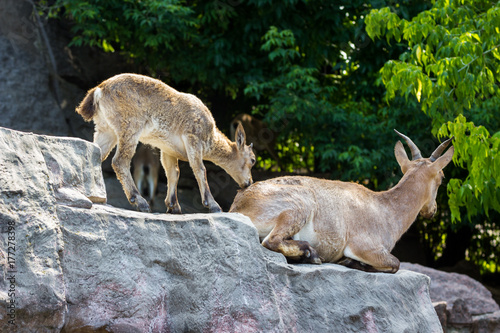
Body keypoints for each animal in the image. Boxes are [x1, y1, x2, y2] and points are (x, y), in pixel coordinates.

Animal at [76, 73, 256, 213]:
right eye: (253, 160)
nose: (249, 182)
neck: (210, 136)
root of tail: (99, 91)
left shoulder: (168, 150)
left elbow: (173, 172)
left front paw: (173, 206)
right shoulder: (193, 138)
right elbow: (200, 169)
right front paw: (213, 205)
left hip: (106, 129)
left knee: (96, 153)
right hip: (129, 127)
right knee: (119, 161)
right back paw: (140, 201)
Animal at [229, 130, 456, 272]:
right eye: (442, 177)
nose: (432, 210)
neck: (386, 209)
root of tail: (238, 205)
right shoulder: (364, 246)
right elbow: (395, 263)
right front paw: (350, 262)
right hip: (299, 204)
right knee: (271, 240)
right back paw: (311, 254)